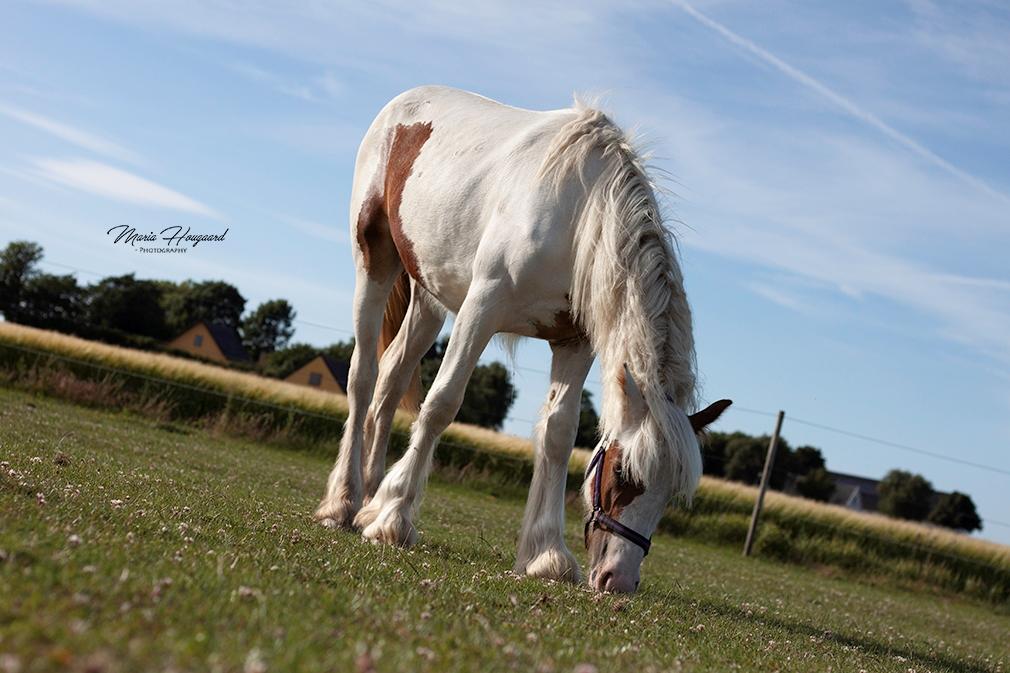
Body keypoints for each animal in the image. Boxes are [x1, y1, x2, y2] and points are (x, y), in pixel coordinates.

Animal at [311, 85, 731, 594]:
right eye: (621, 472)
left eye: (671, 491)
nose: (619, 581)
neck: (578, 217)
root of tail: (403, 103)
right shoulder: (481, 309)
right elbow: (442, 403)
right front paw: (395, 519)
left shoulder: (574, 343)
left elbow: (557, 435)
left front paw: (546, 554)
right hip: (375, 260)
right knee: (363, 376)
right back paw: (344, 502)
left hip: (429, 298)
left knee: (391, 382)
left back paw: (370, 498)